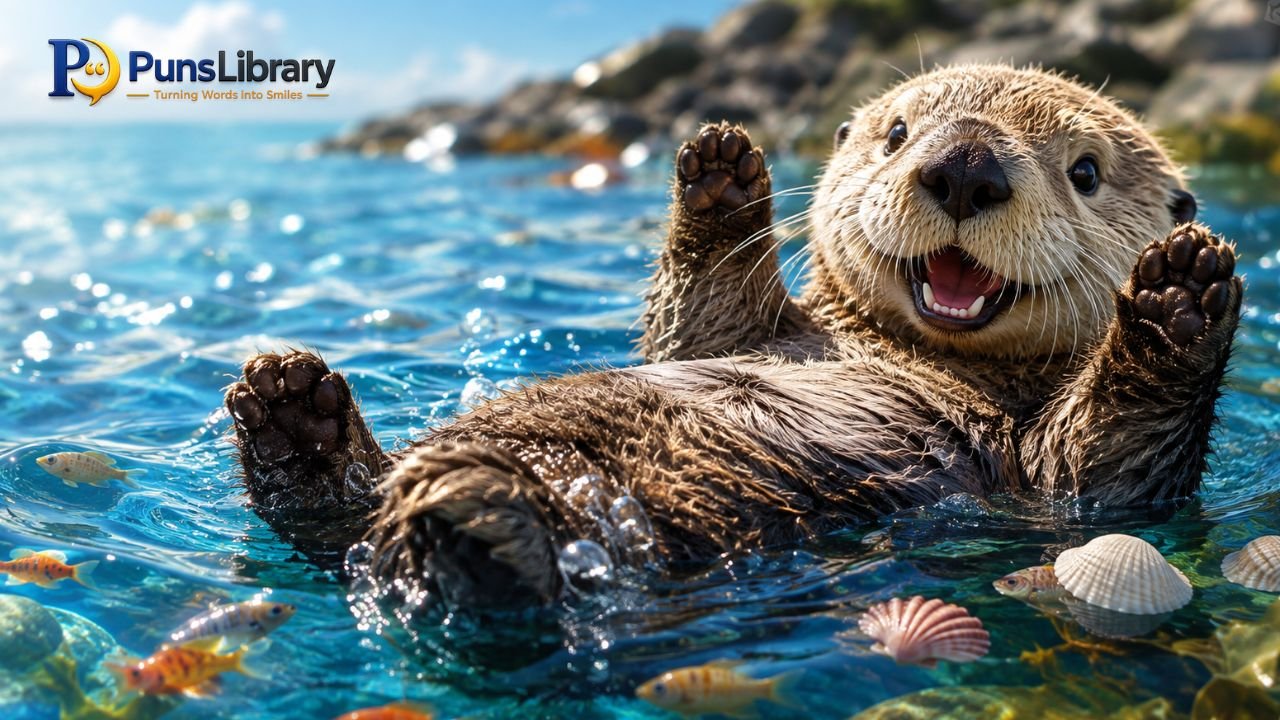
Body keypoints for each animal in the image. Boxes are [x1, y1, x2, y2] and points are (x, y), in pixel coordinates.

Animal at [222, 65, 1241, 607]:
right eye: (897, 133)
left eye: (1085, 171)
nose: (965, 164)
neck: (909, 346)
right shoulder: (748, 332)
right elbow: (696, 320)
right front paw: (721, 170)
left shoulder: (1046, 472)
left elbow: (1107, 460)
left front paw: (1182, 287)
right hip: (352, 515)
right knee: (323, 516)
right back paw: (292, 409)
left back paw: (479, 516)